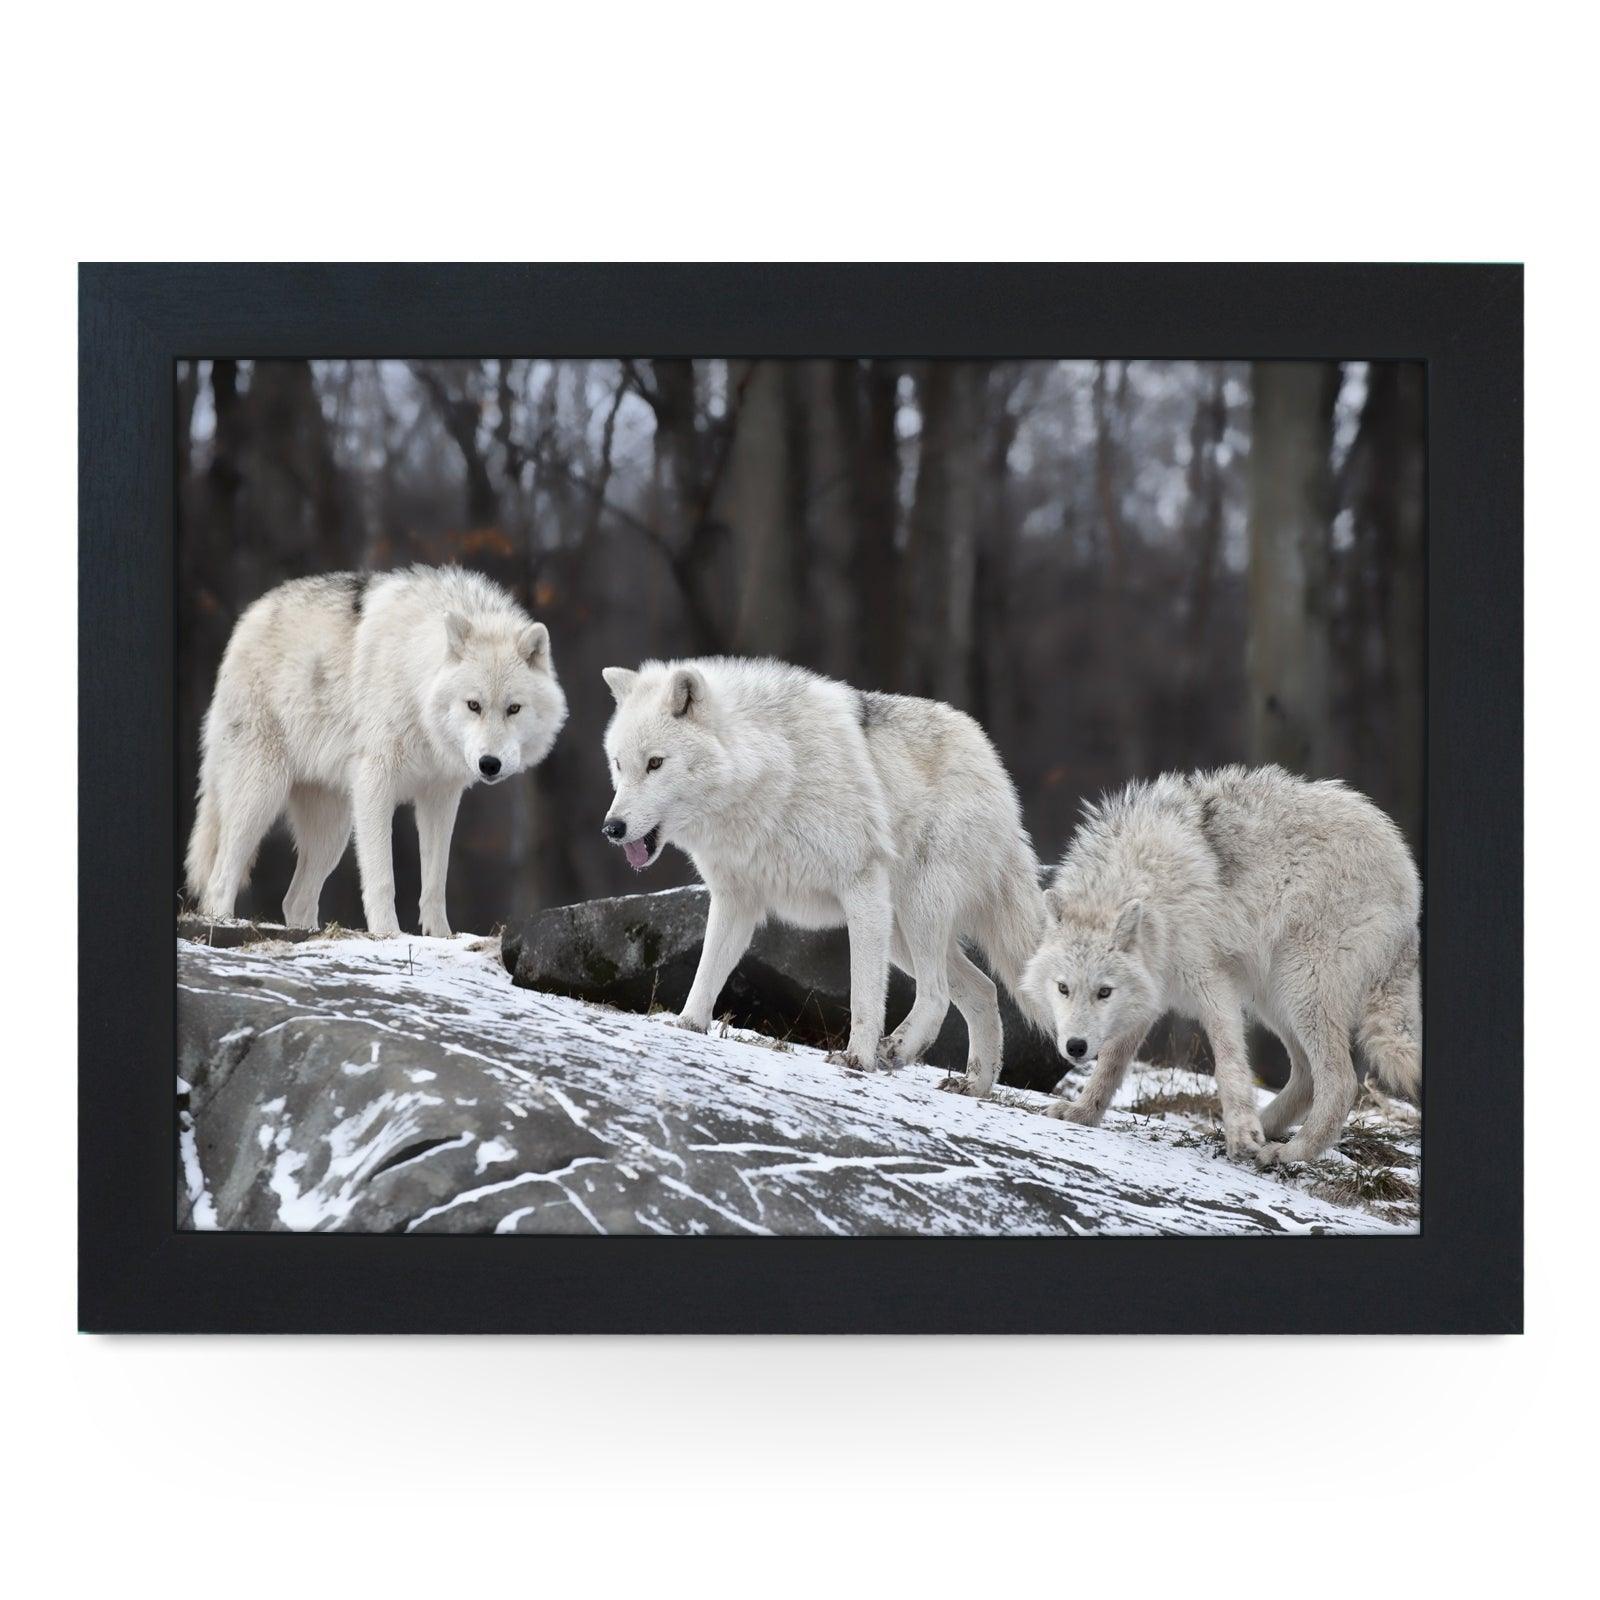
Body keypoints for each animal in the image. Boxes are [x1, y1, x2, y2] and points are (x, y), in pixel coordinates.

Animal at [185, 565, 568, 937]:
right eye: (473, 705)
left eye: (513, 709)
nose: (489, 764)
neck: (415, 681)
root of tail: (248, 617)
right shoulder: (375, 783)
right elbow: (383, 879)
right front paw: (387, 934)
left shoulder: (440, 796)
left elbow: (435, 882)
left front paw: (441, 937)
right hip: (262, 796)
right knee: (220, 880)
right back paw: (223, 925)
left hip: (332, 831)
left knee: (295, 900)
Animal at [598, 657, 1047, 1087]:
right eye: (619, 765)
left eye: (655, 763)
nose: (612, 828)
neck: (769, 773)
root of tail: (992, 761)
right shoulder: (735, 900)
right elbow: (707, 971)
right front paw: (688, 1026)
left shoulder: (861, 887)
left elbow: (864, 994)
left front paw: (857, 1059)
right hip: (899, 931)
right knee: (983, 989)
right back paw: (975, 1086)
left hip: (915, 911)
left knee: (936, 993)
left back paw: (897, 1051)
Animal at [1022, 765, 1421, 1164]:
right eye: (1063, 988)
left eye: (1104, 992)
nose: (1075, 1047)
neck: (1149, 884)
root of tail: (1406, 871)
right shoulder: (1148, 994)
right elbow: (1111, 1064)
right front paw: (1082, 1113)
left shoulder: (1212, 984)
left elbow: (1228, 1064)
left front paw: (1242, 1135)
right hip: (1274, 998)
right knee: (1308, 1078)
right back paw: (1265, 1128)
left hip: (1300, 989)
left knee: (1340, 1082)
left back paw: (1291, 1151)